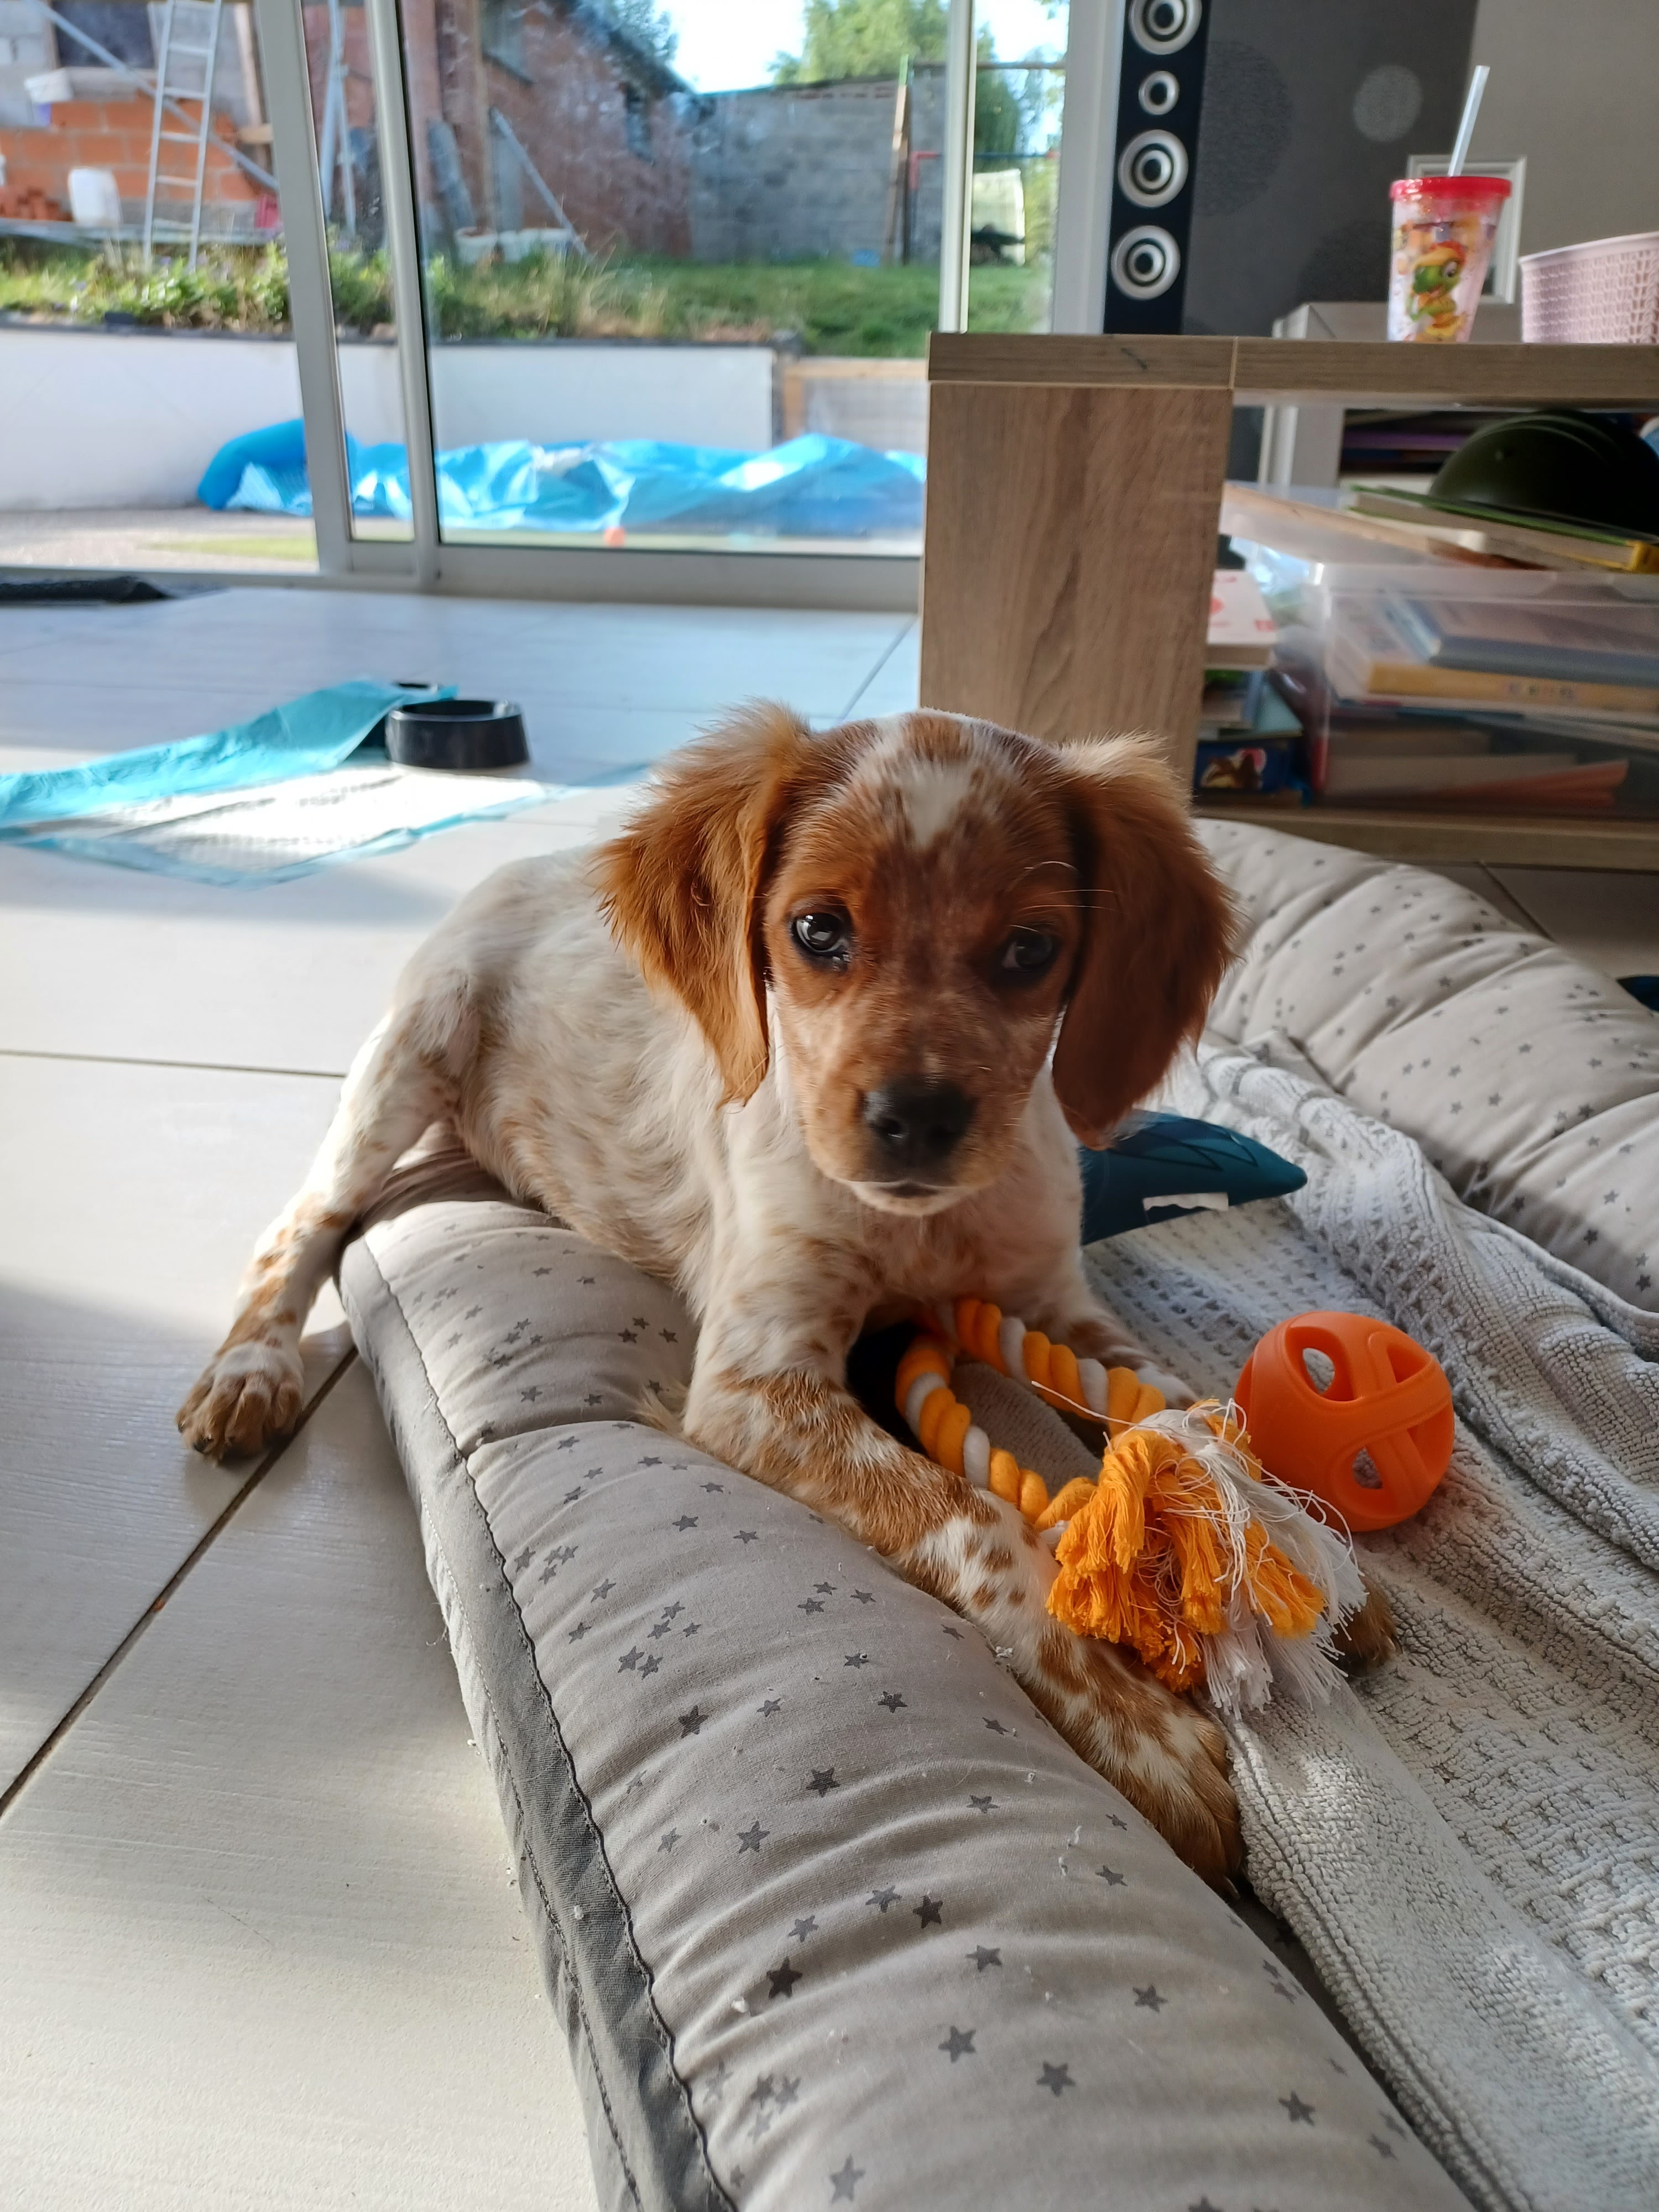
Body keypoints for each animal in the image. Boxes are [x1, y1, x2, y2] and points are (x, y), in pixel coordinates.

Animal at [180, 705, 1308, 1882]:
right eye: (818, 930)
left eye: (1029, 949)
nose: (916, 1117)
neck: (919, 1230)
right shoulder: (755, 1383)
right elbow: (980, 1519)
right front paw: (1143, 1731)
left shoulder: (1054, 1300)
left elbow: (1191, 1411)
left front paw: (1275, 1527)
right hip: (411, 1055)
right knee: (303, 1223)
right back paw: (250, 1372)